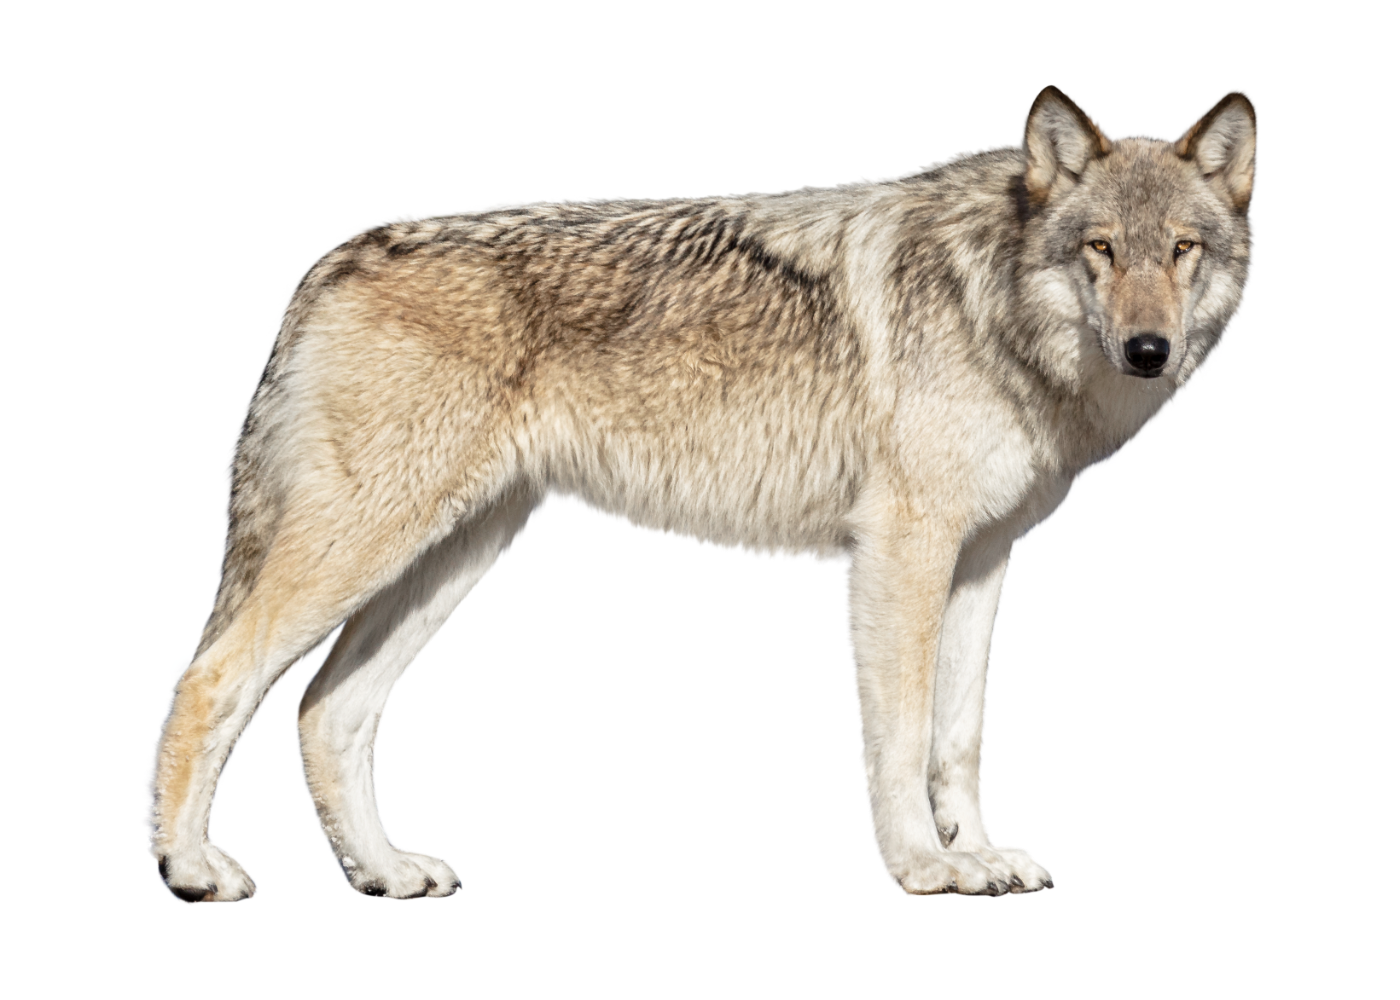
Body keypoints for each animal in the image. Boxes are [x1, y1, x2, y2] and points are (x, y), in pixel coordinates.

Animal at [144, 86, 1257, 900]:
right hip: (363, 550)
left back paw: (382, 872)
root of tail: (331, 260)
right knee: (210, 677)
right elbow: (900, 737)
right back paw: (193, 868)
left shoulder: (981, 561)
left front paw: (978, 851)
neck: (997, 303)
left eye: (1181, 249)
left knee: (326, 708)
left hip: (449, 561)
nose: (1148, 349)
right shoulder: (900, 551)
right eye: (1100, 249)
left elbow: (955, 740)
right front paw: (923, 865)